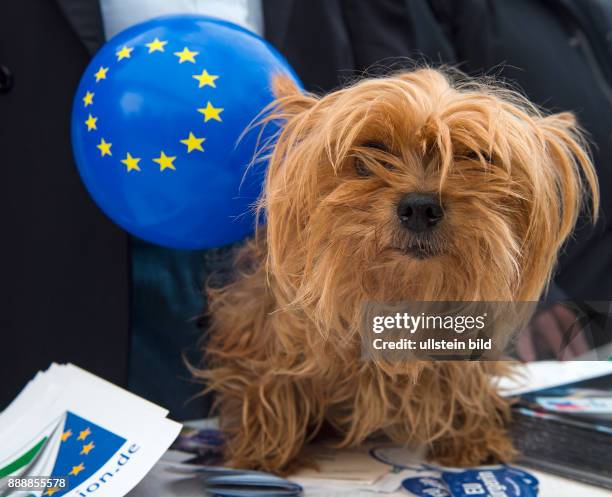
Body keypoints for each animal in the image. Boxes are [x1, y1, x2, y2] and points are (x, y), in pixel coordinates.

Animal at [200, 68, 596, 470]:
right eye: (369, 154)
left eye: (477, 157)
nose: (420, 207)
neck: (398, 296)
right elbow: (268, 383)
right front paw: (263, 452)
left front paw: (469, 436)